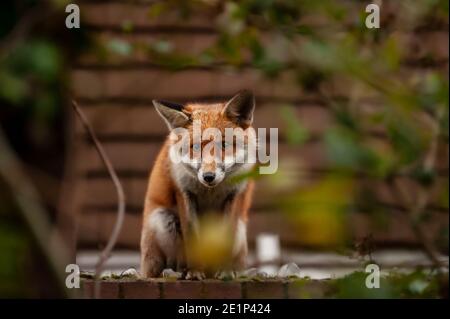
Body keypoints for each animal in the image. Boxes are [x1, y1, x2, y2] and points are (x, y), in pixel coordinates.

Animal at [139, 90, 258, 280]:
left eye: (224, 144)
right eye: (195, 147)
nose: (208, 176)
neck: (210, 191)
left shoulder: (234, 195)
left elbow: (226, 236)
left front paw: (225, 271)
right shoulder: (184, 193)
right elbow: (192, 237)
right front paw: (194, 272)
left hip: (240, 233)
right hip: (163, 219)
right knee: (168, 266)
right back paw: (176, 271)